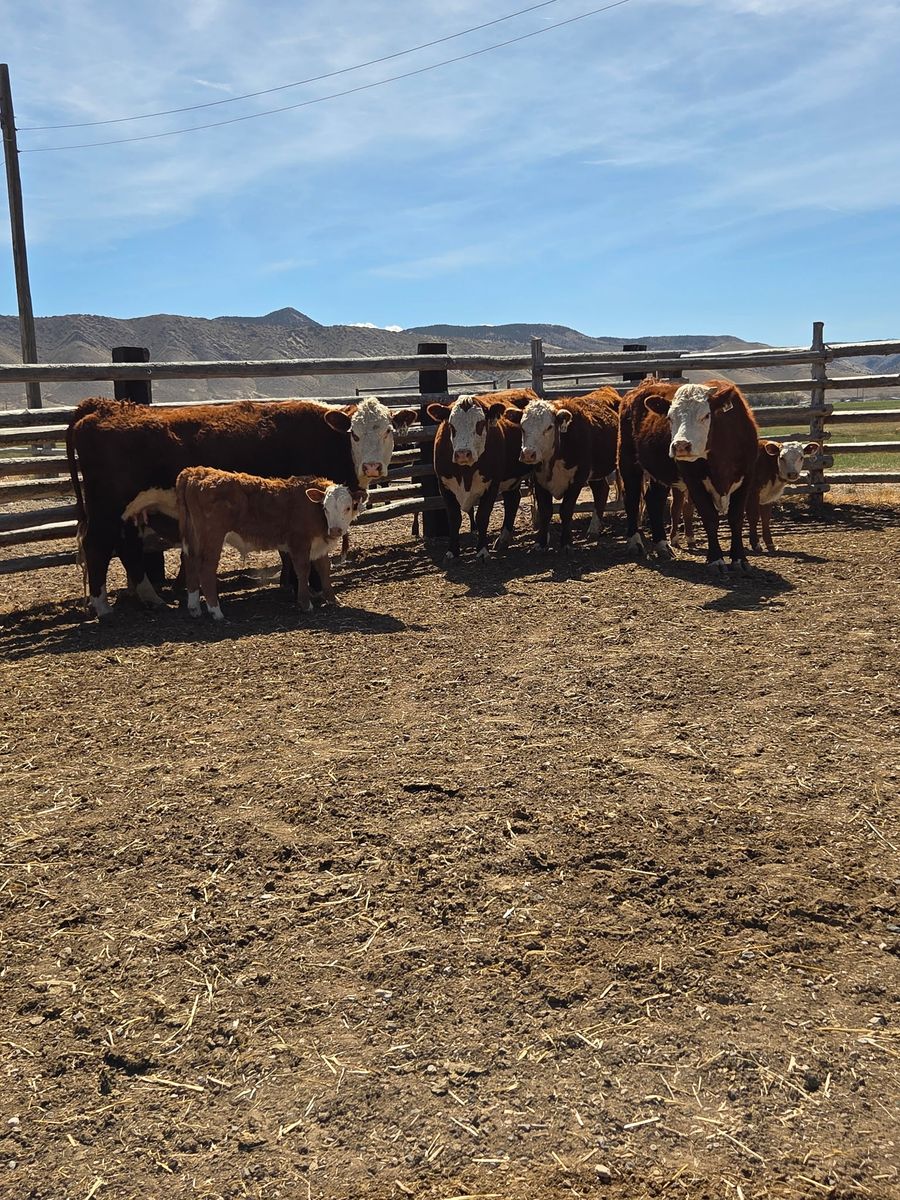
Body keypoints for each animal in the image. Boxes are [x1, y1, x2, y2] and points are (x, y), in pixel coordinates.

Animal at [66, 396, 416, 617]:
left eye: (388, 430)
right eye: (354, 434)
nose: (372, 466)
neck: (328, 438)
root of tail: (102, 407)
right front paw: (307, 590)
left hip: (128, 511)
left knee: (127, 547)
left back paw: (151, 598)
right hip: (107, 506)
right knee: (98, 545)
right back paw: (102, 606)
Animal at [427, 389, 537, 562]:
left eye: (479, 424)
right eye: (451, 425)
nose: (462, 453)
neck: (465, 472)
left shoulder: (492, 484)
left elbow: (482, 516)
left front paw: (482, 550)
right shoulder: (444, 486)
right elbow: (454, 518)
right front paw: (452, 551)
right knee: (512, 499)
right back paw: (503, 539)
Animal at [503, 388, 619, 551]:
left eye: (549, 427)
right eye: (522, 427)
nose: (528, 454)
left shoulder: (577, 479)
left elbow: (566, 510)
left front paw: (566, 542)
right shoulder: (539, 480)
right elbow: (545, 511)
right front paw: (540, 543)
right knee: (601, 490)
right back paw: (594, 530)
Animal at [618, 377, 759, 572]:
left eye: (706, 415)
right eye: (670, 417)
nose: (680, 445)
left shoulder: (747, 478)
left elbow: (736, 518)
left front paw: (739, 559)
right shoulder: (694, 481)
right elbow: (709, 517)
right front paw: (716, 559)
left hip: (660, 472)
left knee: (654, 500)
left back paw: (662, 545)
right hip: (628, 462)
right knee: (631, 498)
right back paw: (634, 542)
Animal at [670, 438, 819, 553]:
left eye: (801, 457)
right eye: (782, 457)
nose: (792, 474)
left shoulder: (767, 496)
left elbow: (766, 519)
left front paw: (770, 544)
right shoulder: (752, 492)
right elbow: (753, 517)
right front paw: (756, 544)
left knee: (686, 509)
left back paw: (690, 540)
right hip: (679, 486)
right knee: (676, 510)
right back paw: (675, 540)